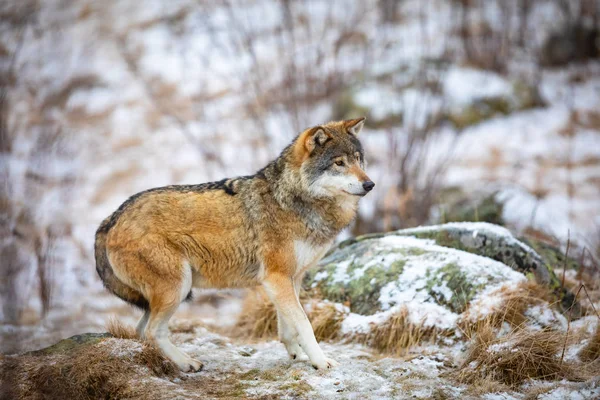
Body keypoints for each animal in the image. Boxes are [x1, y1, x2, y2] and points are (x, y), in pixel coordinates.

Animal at [94, 118, 376, 372]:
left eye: (359, 159)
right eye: (339, 163)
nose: (370, 184)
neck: (293, 200)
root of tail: (111, 219)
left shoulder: (290, 278)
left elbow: (287, 326)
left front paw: (297, 355)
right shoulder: (277, 277)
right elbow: (304, 324)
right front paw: (321, 361)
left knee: (140, 329)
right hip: (178, 288)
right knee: (153, 331)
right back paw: (187, 363)